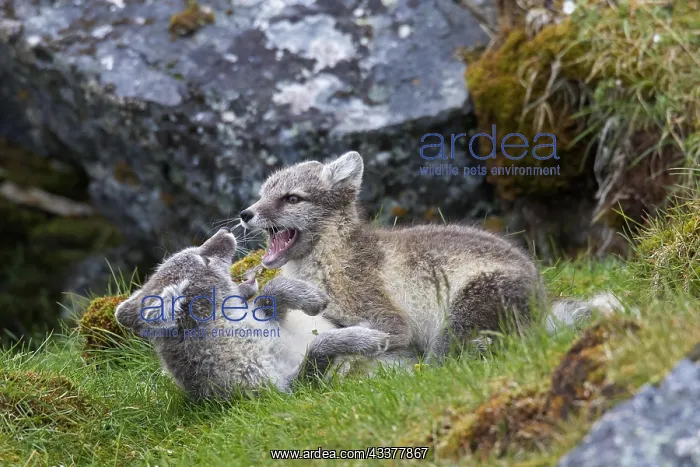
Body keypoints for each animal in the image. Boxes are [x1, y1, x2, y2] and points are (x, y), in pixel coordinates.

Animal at [114, 227, 392, 400]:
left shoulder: (274, 320)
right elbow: (320, 345)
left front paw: (313, 298)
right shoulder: (290, 388)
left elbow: (273, 290)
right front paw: (368, 339)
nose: (225, 231)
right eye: (204, 261)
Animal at [240, 151, 626, 379]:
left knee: (444, 361)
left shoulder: (384, 317)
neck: (329, 258)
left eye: (292, 198)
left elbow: (379, 336)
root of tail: (542, 300)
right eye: (262, 194)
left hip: (465, 308)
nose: (245, 214)